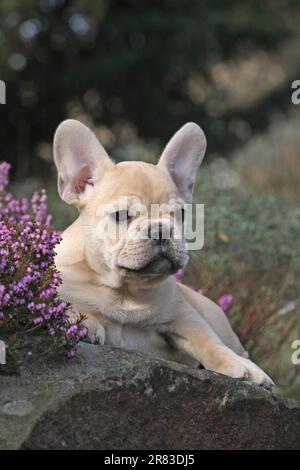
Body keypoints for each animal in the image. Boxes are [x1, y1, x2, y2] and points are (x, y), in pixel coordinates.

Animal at [52, 119, 274, 388]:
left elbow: (207, 340)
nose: (160, 229)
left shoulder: (184, 314)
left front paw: (240, 367)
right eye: (121, 215)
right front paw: (82, 321)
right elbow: (61, 303)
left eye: (180, 214)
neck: (125, 291)